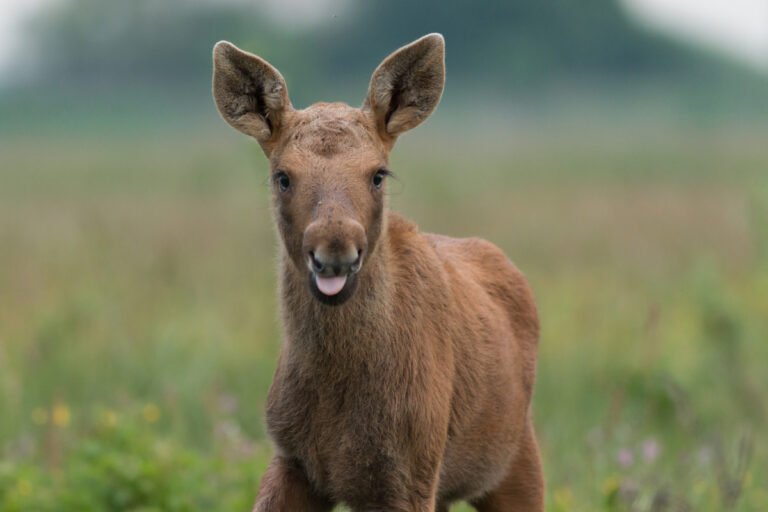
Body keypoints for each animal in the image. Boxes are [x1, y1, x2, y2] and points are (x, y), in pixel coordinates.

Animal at [212, 33, 543, 512]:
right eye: (283, 176)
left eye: (378, 174)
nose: (335, 250)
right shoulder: (291, 457)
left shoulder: (408, 472)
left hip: (516, 459)